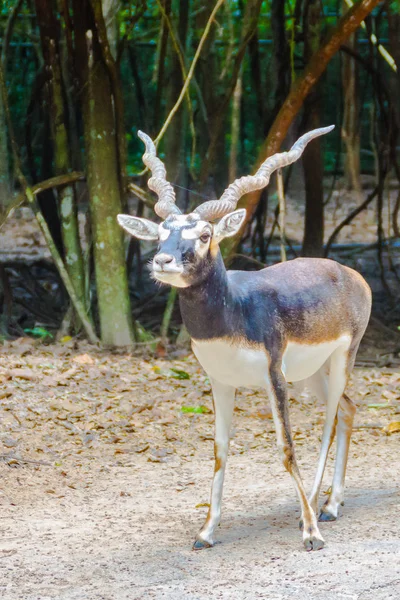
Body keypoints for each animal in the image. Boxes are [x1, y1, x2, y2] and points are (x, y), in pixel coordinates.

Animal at [118, 126, 372, 552]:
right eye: (162, 234)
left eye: (205, 234)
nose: (162, 261)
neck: (234, 310)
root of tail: (351, 274)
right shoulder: (220, 381)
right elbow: (220, 450)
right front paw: (206, 531)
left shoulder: (273, 375)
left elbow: (286, 447)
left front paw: (310, 534)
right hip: (310, 374)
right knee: (348, 410)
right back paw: (329, 504)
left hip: (340, 360)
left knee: (331, 420)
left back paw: (316, 511)